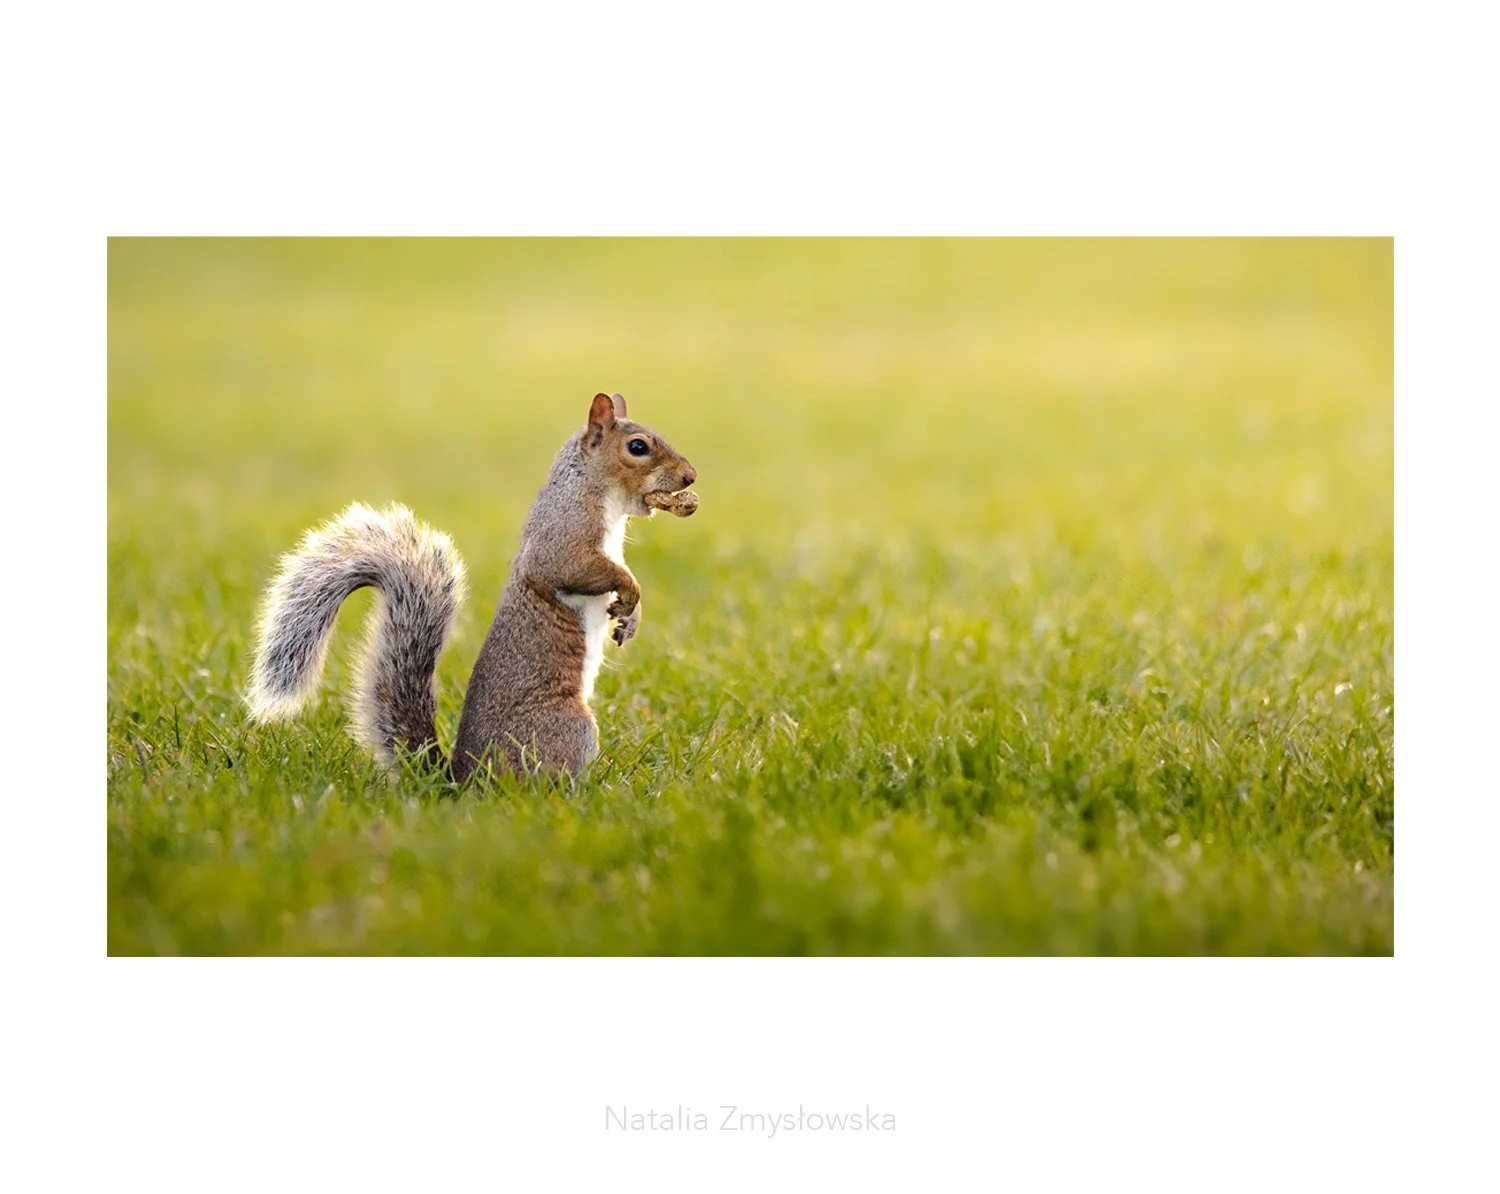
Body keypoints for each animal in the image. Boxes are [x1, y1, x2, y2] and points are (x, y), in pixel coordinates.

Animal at [246, 392, 698, 781]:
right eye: (637, 447)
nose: (690, 476)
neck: (592, 489)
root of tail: (464, 779)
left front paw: (632, 617)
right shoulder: (564, 534)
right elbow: (568, 568)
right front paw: (631, 590)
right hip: (570, 727)